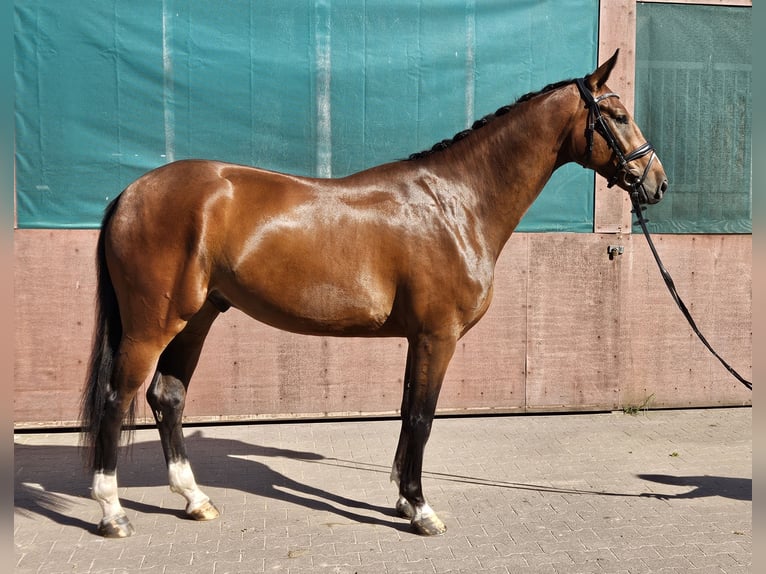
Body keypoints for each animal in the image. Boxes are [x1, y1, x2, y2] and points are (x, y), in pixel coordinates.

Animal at [78, 50, 664, 540]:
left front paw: (403, 501)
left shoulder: (418, 338)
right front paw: (422, 511)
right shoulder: (437, 336)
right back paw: (112, 513)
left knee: (166, 397)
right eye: (617, 115)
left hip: (197, 318)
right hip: (153, 325)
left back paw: (195, 499)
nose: (656, 181)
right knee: (116, 398)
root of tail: (131, 194)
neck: (457, 203)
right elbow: (423, 418)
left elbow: (407, 413)